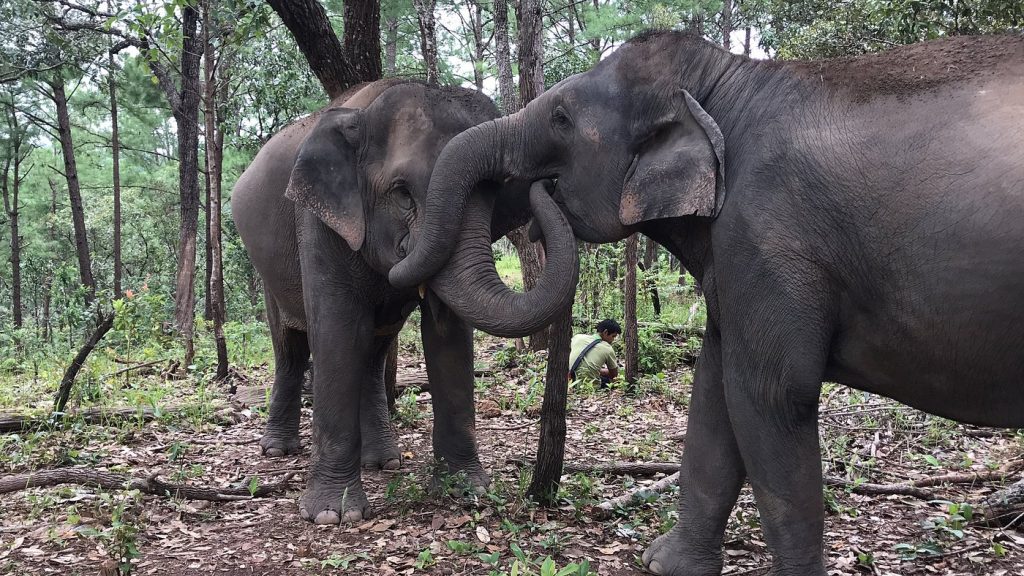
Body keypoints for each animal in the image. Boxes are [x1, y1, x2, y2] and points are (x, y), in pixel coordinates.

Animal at [231, 79, 577, 524]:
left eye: (493, 194)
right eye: (401, 194)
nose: (548, 184)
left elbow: (448, 334)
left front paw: (467, 490)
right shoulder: (319, 223)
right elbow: (338, 332)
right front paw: (332, 516)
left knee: (372, 352)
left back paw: (384, 462)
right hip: (268, 274)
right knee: (290, 348)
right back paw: (277, 450)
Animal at [389, 32, 1024, 575]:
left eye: (562, 118)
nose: (538, 191)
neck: (727, 80)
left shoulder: (768, 236)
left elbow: (771, 395)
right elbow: (714, 390)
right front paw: (665, 564)